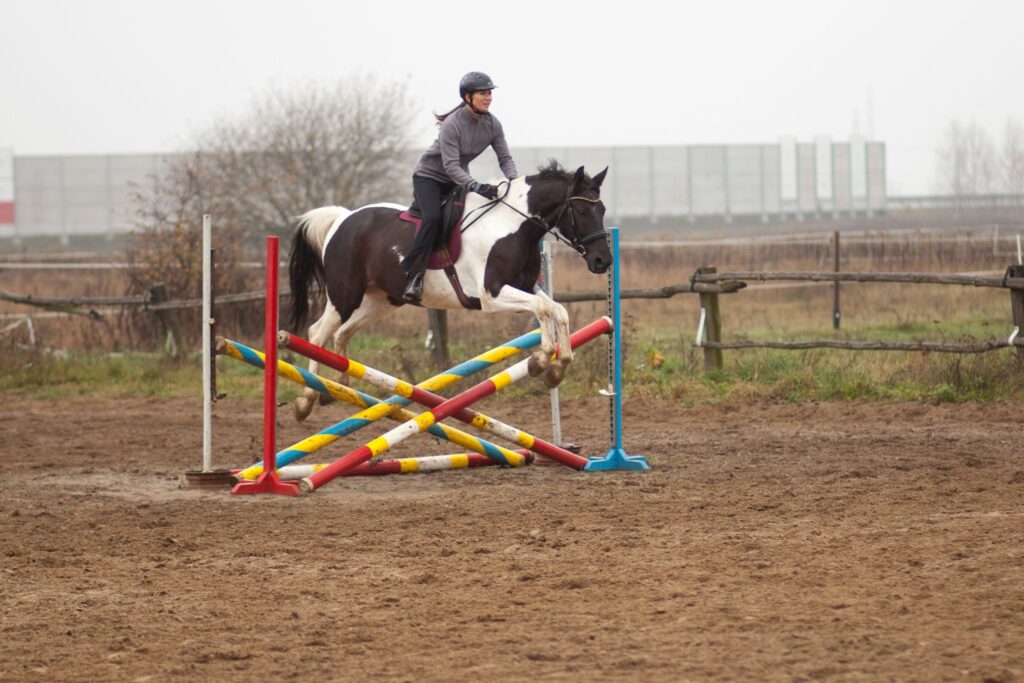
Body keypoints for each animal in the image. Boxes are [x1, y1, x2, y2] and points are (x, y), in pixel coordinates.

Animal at [284, 160, 610, 421]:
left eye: (603, 209)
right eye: (582, 209)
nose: (602, 261)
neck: (514, 226)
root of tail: (342, 218)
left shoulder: (525, 287)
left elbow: (558, 310)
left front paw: (557, 368)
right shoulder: (492, 295)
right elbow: (544, 310)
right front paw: (541, 361)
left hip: (381, 301)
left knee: (341, 333)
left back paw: (336, 386)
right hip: (345, 295)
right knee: (317, 333)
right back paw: (305, 400)